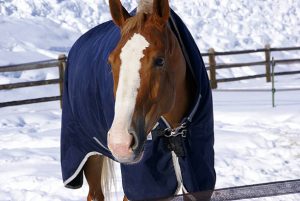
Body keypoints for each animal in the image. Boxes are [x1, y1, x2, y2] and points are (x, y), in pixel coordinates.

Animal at [61, 0, 216, 201]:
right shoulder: (143, 184)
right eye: (110, 62)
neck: (174, 132)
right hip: (88, 154)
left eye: (160, 60)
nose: (120, 144)